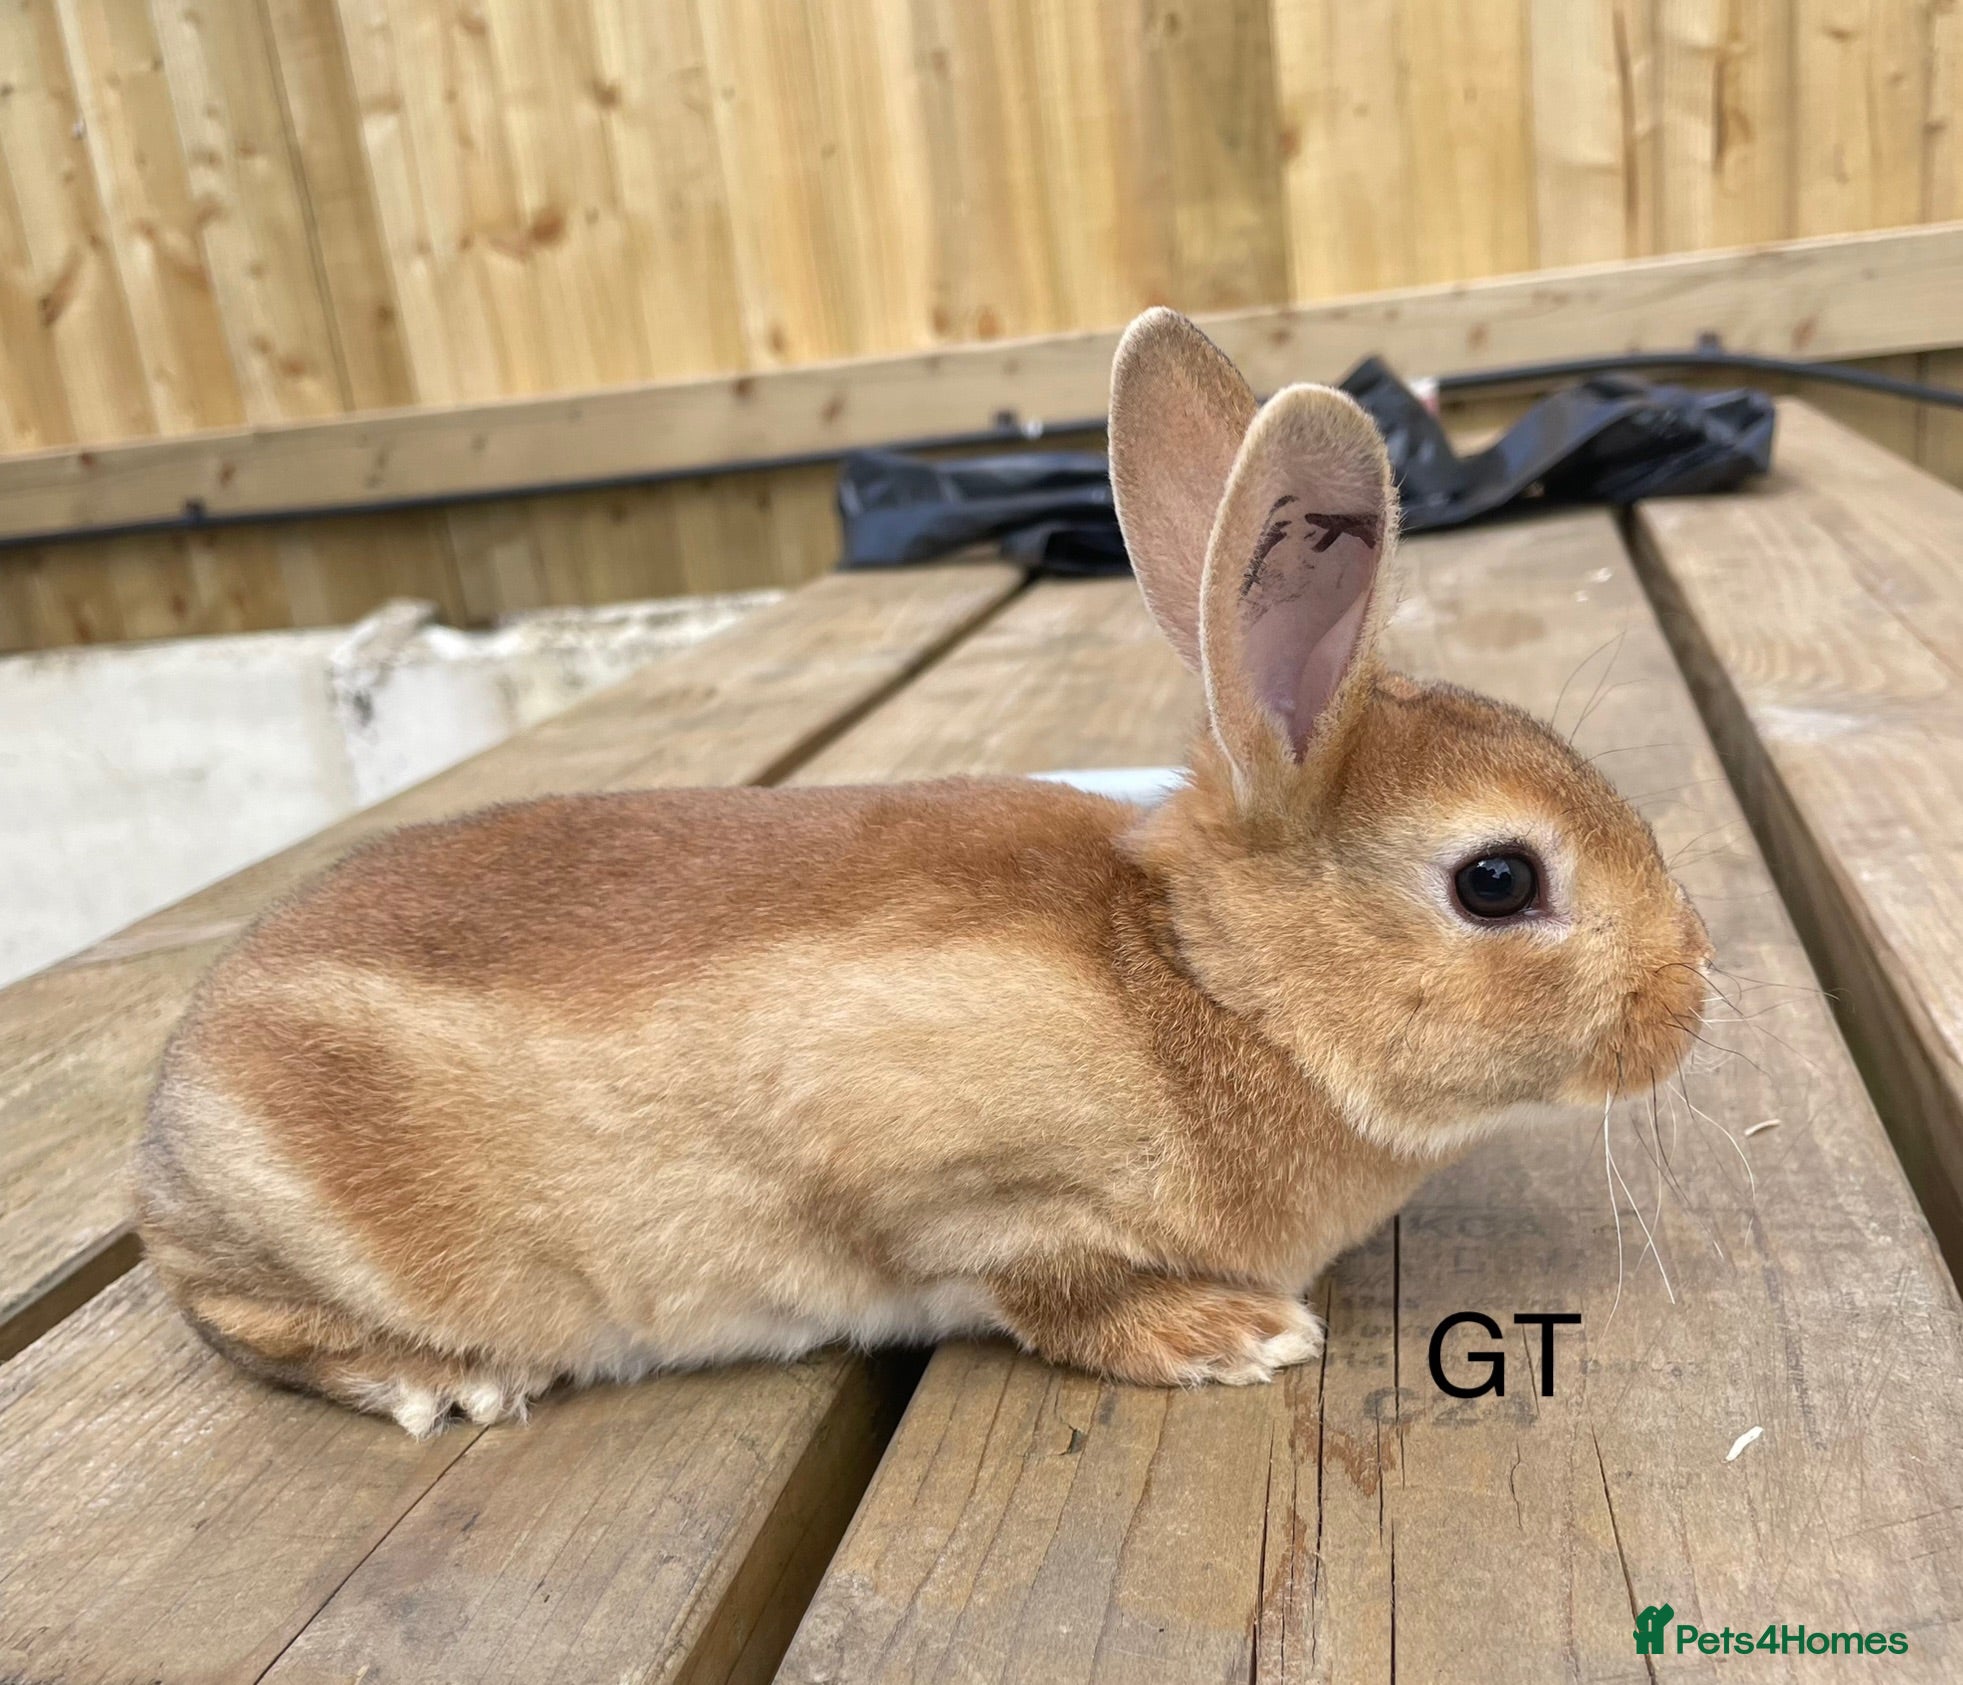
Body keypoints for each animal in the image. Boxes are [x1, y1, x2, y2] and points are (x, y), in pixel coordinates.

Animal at [135, 308, 1712, 1436]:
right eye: (1496, 882)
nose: (1689, 993)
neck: (1213, 985)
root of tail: (172, 1111)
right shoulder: (960, 1188)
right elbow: (1044, 1284)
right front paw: (1228, 1337)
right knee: (245, 1323)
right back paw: (440, 1382)